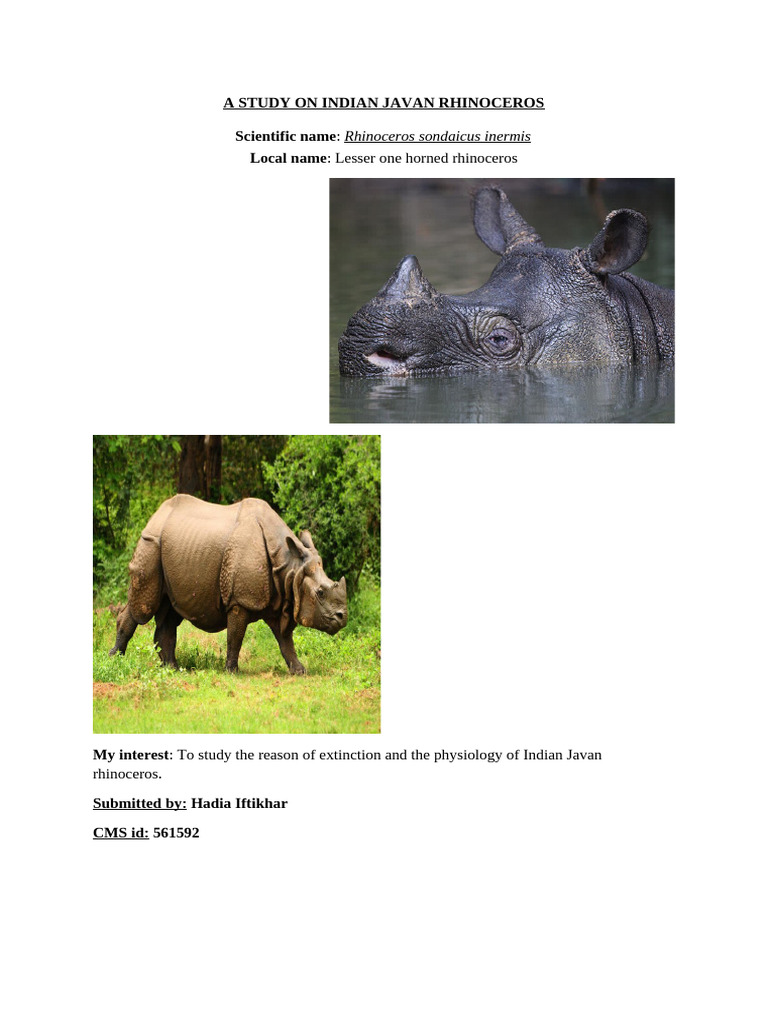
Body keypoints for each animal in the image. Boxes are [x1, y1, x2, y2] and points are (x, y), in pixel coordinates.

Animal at [109, 494, 347, 674]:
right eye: (320, 593)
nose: (342, 618)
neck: (290, 567)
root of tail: (156, 515)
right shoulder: (240, 600)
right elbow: (236, 636)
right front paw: (232, 671)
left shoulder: (281, 599)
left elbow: (285, 640)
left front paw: (300, 671)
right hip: (150, 542)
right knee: (143, 607)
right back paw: (116, 660)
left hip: (172, 549)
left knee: (170, 610)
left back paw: (173, 669)